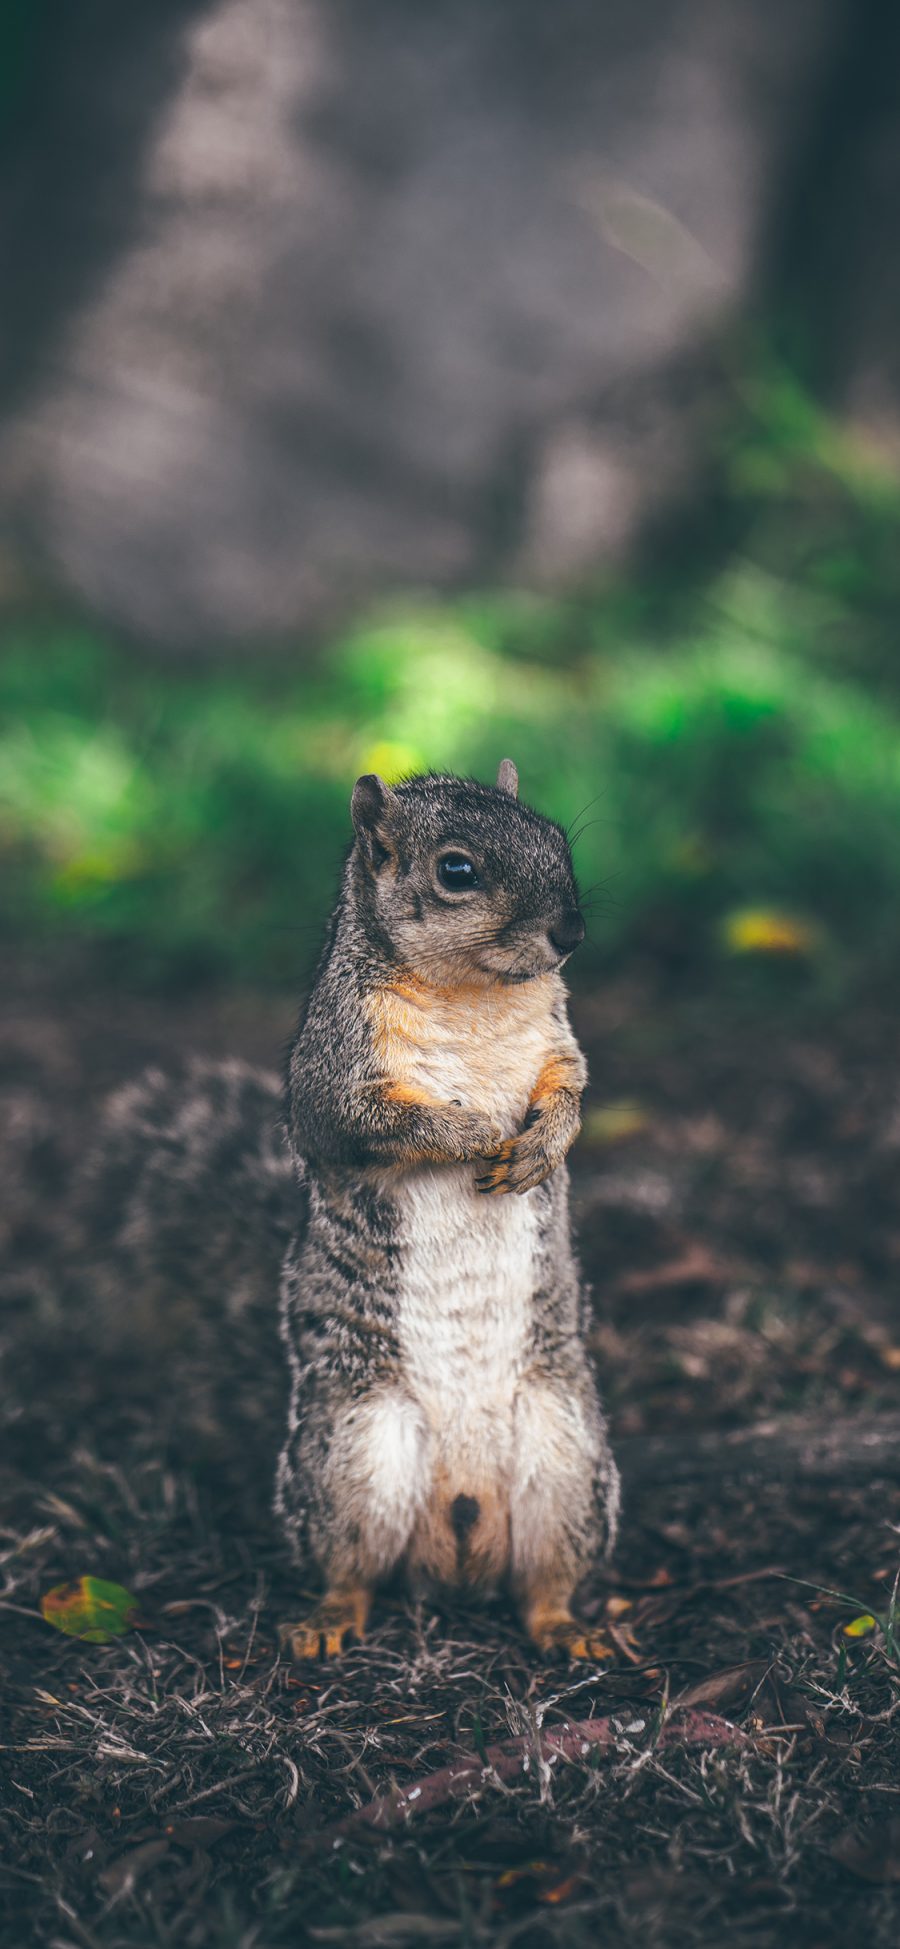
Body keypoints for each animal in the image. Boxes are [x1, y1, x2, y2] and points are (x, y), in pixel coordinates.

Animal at [78, 760, 619, 1660]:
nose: (570, 932)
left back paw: (567, 1626)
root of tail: (458, 1542)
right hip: (353, 1455)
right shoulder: (335, 1070)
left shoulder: (557, 1040)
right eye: (456, 869)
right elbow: (378, 1123)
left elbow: (571, 1089)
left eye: (556, 838)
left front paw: (544, 1142)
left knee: (543, 1578)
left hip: (567, 1457)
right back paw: (330, 1620)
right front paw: (476, 1127)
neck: (475, 993)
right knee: (352, 1567)